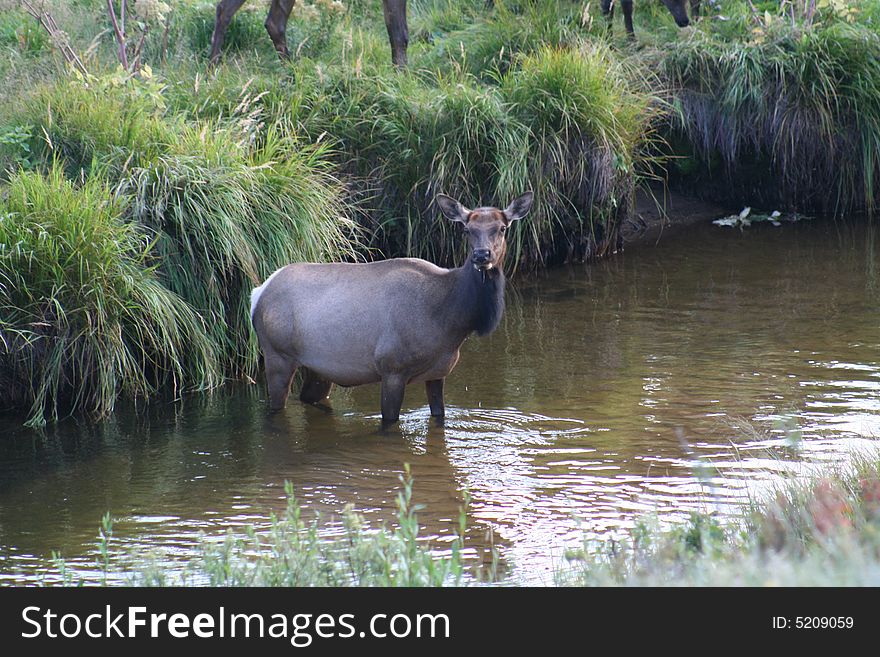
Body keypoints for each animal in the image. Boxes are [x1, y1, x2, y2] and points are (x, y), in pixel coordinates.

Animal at [251, 191, 532, 426]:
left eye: (502, 228)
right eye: (466, 229)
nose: (481, 256)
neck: (451, 322)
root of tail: (258, 293)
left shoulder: (438, 372)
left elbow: (439, 416)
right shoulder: (392, 368)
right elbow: (389, 423)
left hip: (318, 368)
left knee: (308, 399)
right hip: (277, 355)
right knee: (275, 407)